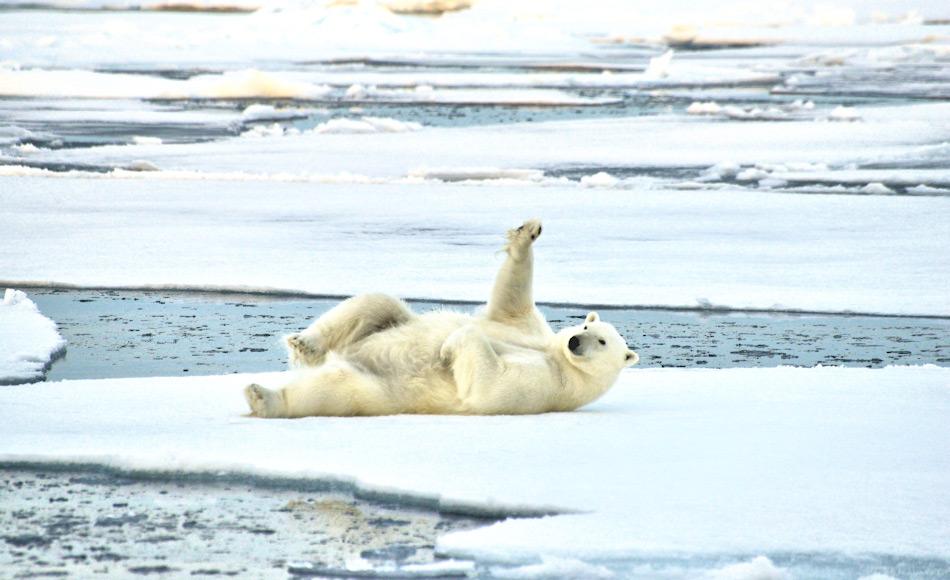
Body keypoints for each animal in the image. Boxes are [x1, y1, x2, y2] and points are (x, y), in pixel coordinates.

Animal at [247, 220, 640, 420]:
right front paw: (528, 232)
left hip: (381, 388)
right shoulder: (529, 328)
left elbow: (488, 386)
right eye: (586, 327)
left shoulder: (546, 386)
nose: (574, 341)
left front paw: (451, 345)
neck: (559, 357)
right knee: (377, 302)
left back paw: (263, 397)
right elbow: (510, 302)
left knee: (333, 391)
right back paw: (303, 345)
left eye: (602, 341)